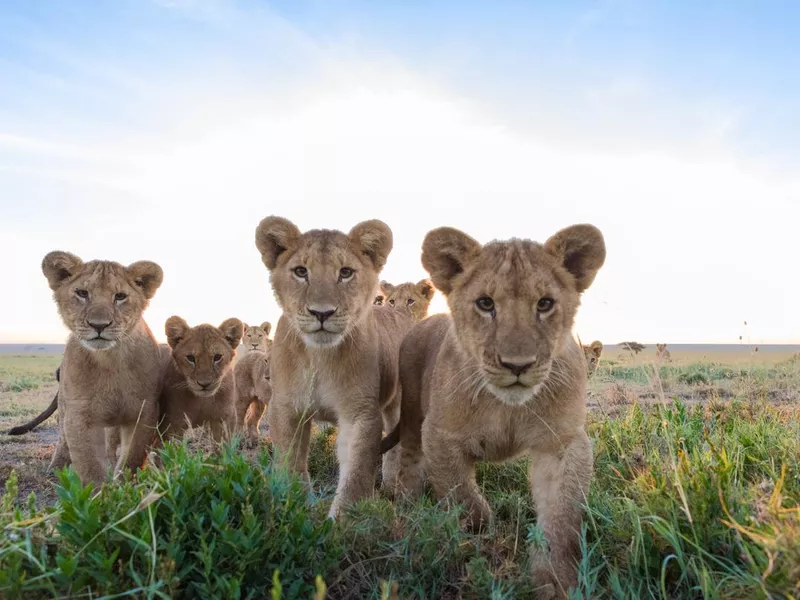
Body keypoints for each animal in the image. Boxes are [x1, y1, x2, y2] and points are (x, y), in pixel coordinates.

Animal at [42, 251, 166, 486]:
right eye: (82, 293)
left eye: (120, 296)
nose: (99, 325)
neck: (110, 360)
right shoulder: (79, 416)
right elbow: (90, 468)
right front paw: (101, 493)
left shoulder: (144, 412)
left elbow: (132, 458)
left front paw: (122, 487)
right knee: (62, 440)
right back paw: (55, 469)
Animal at [255, 214, 412, 516]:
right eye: (301, 271)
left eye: (346, 272)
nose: (322, 313)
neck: (319, 358)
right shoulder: (286, 407)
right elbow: (290, 462)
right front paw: (294, 508)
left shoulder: (360, 412)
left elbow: (356, 474)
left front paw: (341, 522)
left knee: (396, 447)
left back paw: (392, 488)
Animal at [388, 224, 608, 596]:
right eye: (485, 303)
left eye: (545, 304)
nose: (517, 365)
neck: (506, 407)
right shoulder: (439, 435)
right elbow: (465, 499)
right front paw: (478, 544)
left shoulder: (562, 442)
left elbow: (562, 517)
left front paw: (554, 581)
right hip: (412, 412)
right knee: (408, 457)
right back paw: (404, 500)